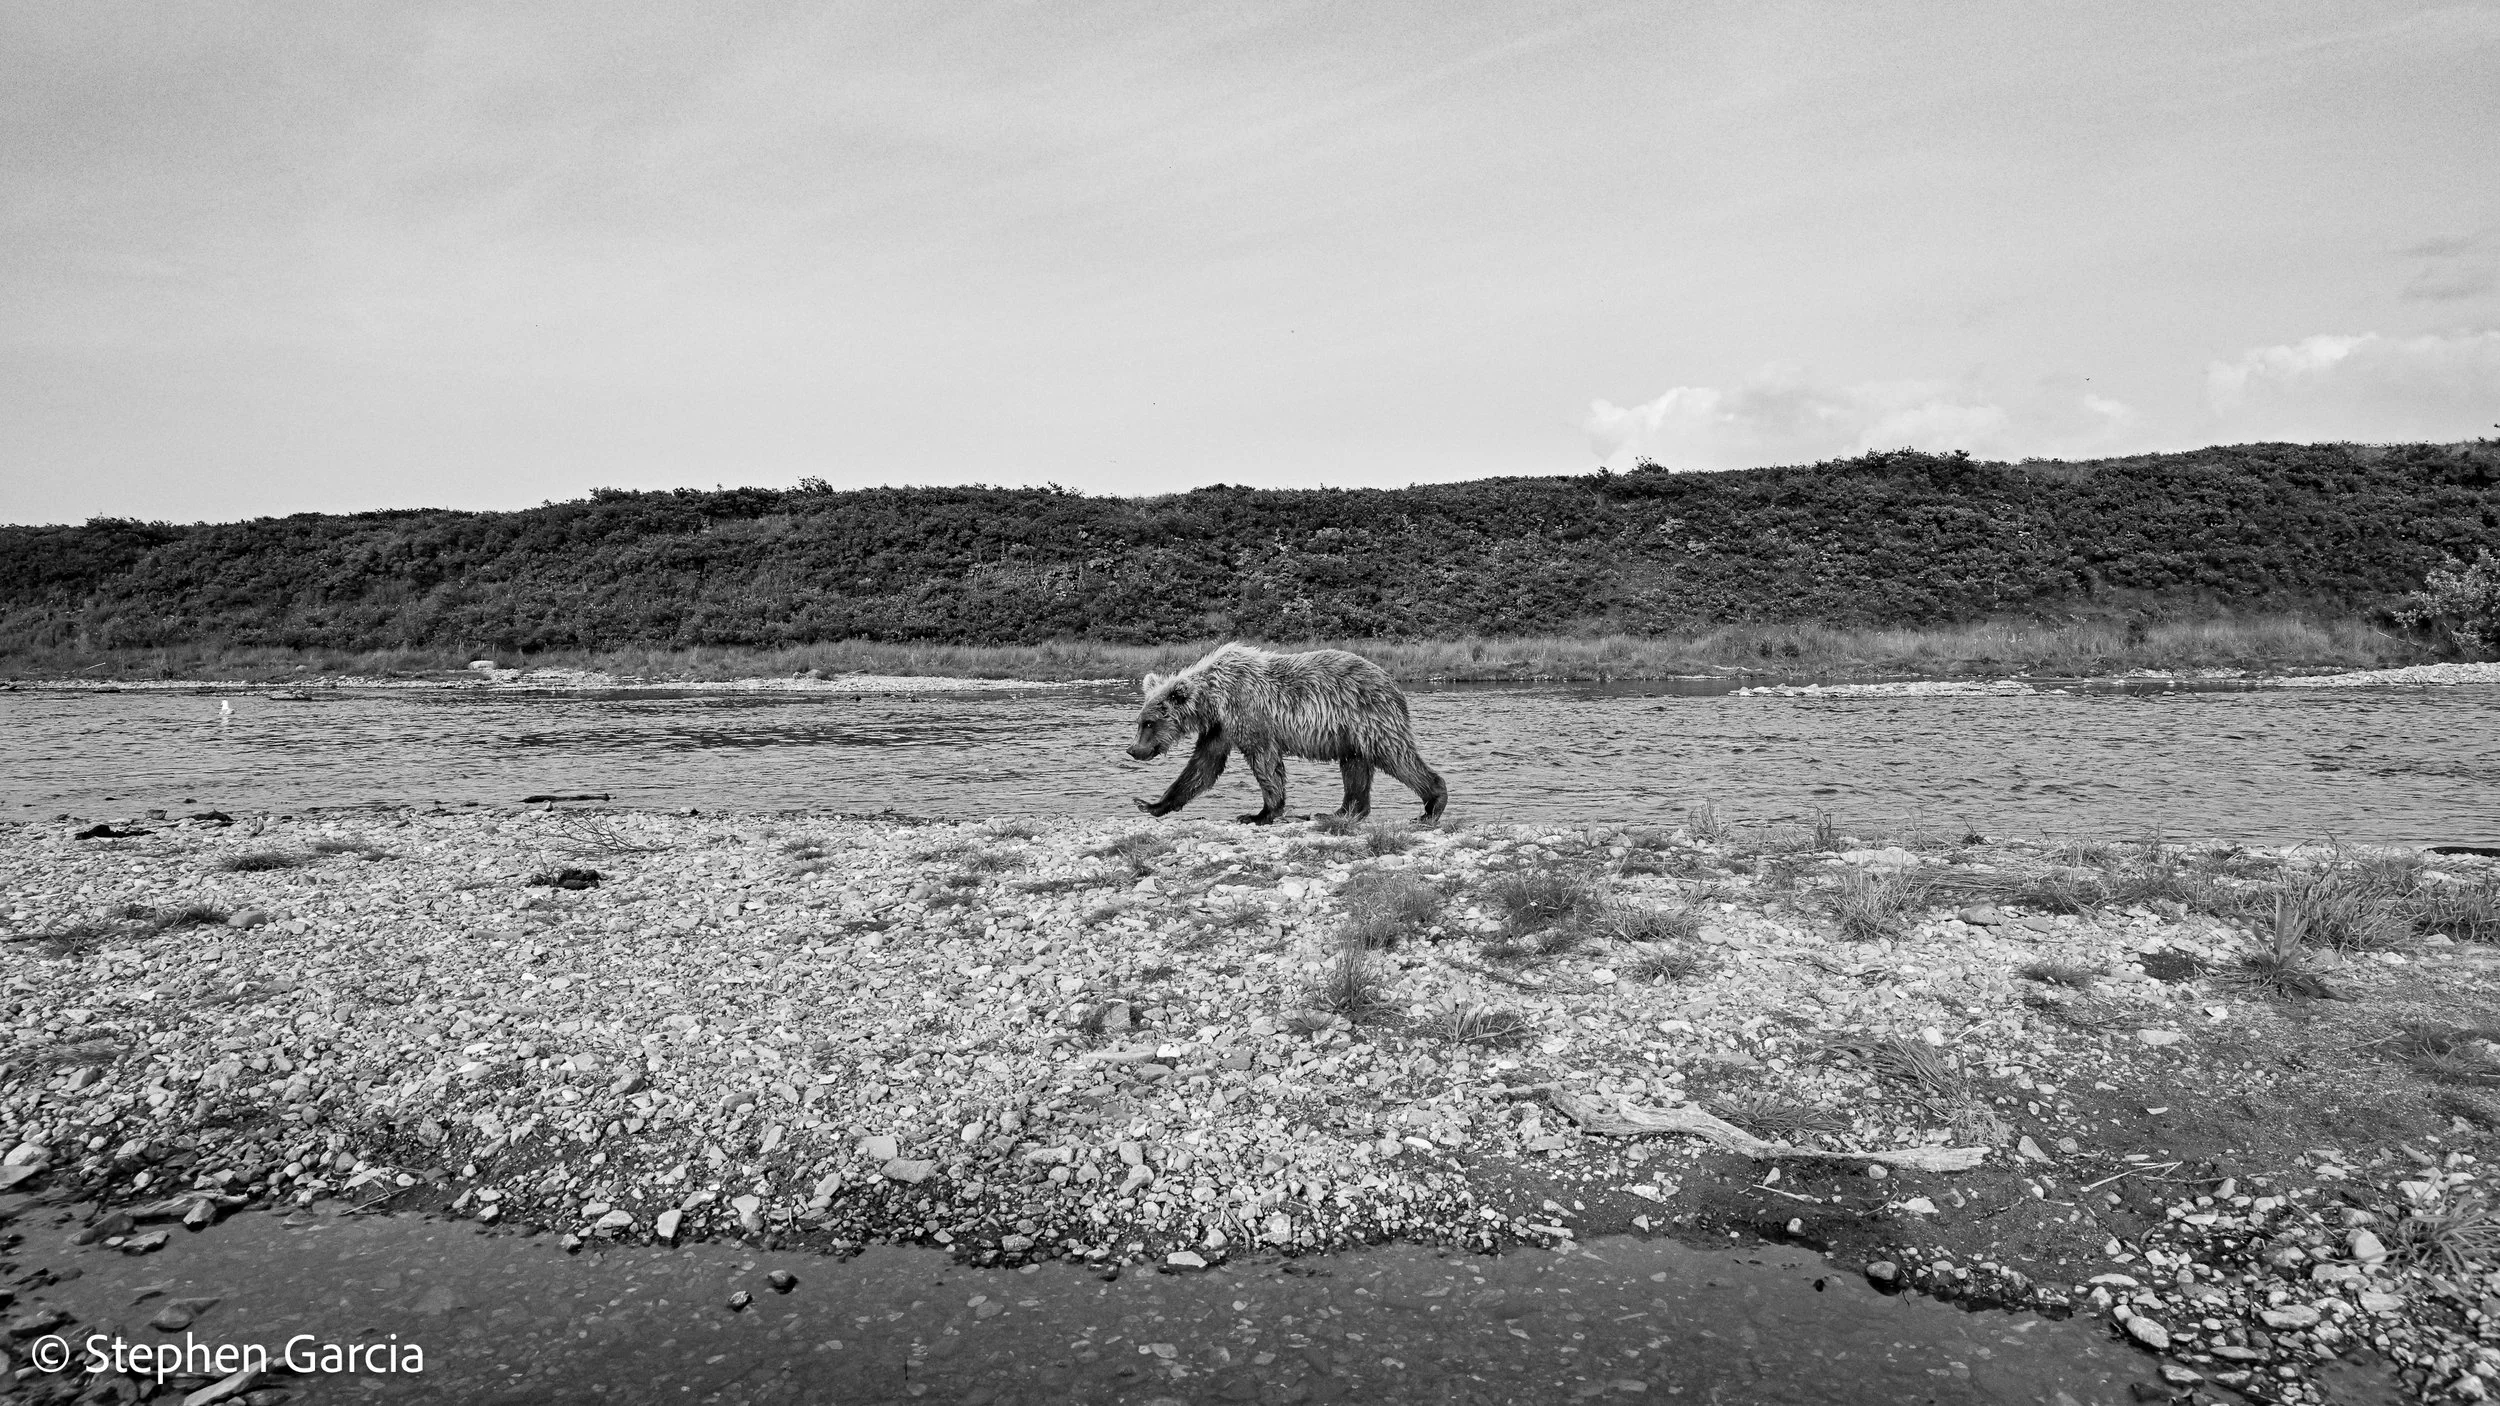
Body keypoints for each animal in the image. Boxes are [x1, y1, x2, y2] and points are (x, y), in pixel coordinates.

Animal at [1126, 644, 1448, 825]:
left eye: (1149, 723)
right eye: (1140, 721)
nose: (1133, 750)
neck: (1214, 698)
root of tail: (1392, 681)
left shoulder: (1248, 713)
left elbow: (1264, 761)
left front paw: (1258, 814)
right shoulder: (1220, 727)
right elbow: (1203, 766)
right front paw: (1151, 804)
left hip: (1369, 717)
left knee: (1394, 755)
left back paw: (1431, 805)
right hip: (1349, 733)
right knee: (1355, 767)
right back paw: (1340, 812)